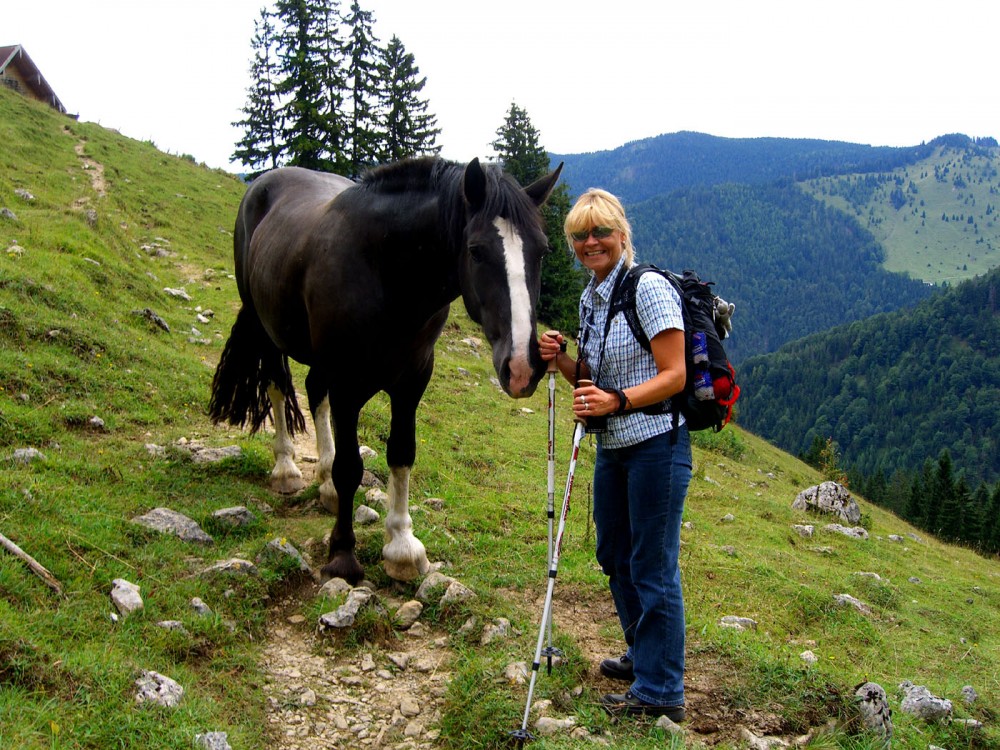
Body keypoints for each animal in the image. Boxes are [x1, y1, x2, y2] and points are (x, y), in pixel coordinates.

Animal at [209, 156, 564, 584]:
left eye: (542, 251)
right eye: (477, 251)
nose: (523, 366)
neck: (385, 271)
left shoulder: (412, 381)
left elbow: (401, 454)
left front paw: (402, 545)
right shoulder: (347, 383)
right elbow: (350, 467)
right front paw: (343, 555)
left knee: (314, 392)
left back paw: (325, 484)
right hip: (267, 330)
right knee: (279, 387)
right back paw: (286, 468)